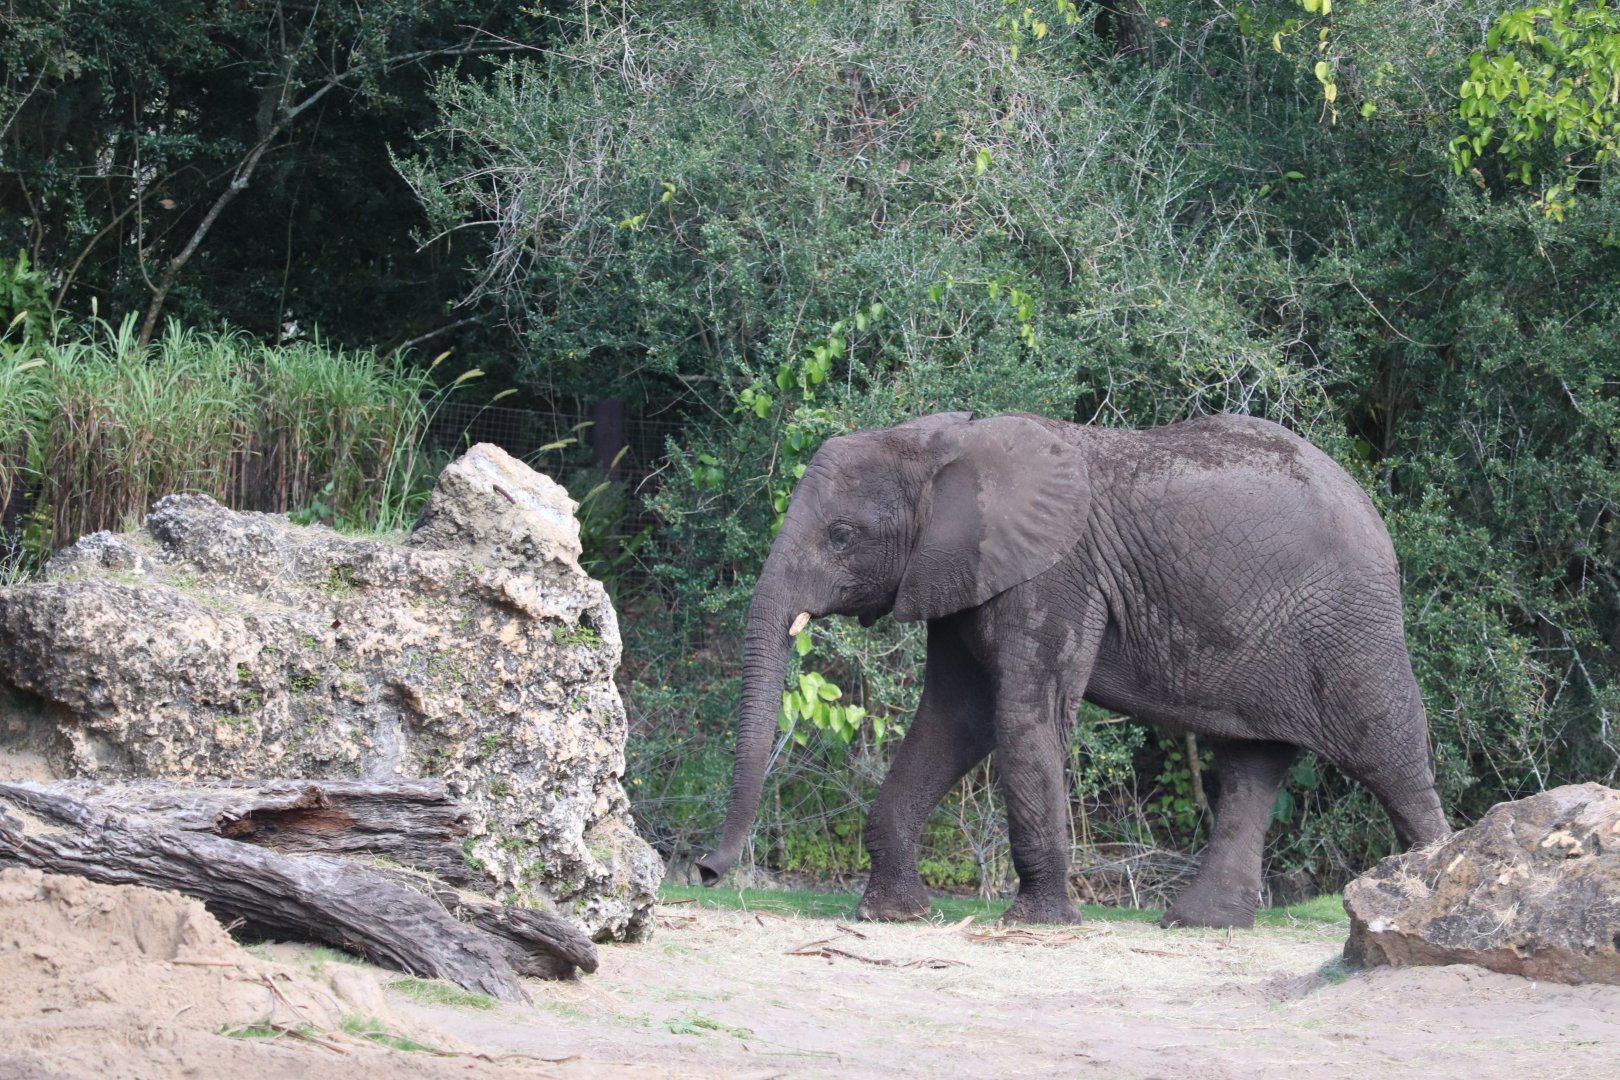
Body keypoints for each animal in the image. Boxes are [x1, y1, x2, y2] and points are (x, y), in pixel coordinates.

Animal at [694, 410, 1449, 928]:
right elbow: (955, 720)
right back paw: (1198, 923)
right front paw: (893, 915)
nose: (703, 870)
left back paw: (1435, 893)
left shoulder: (1053, 576)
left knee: (1389, 755)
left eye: (842, 535)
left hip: (1350, 627)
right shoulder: (966, 574)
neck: (943, 447)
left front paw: (1036, 922)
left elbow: (1022, 717)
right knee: (1251, 764)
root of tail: (1369, 505)